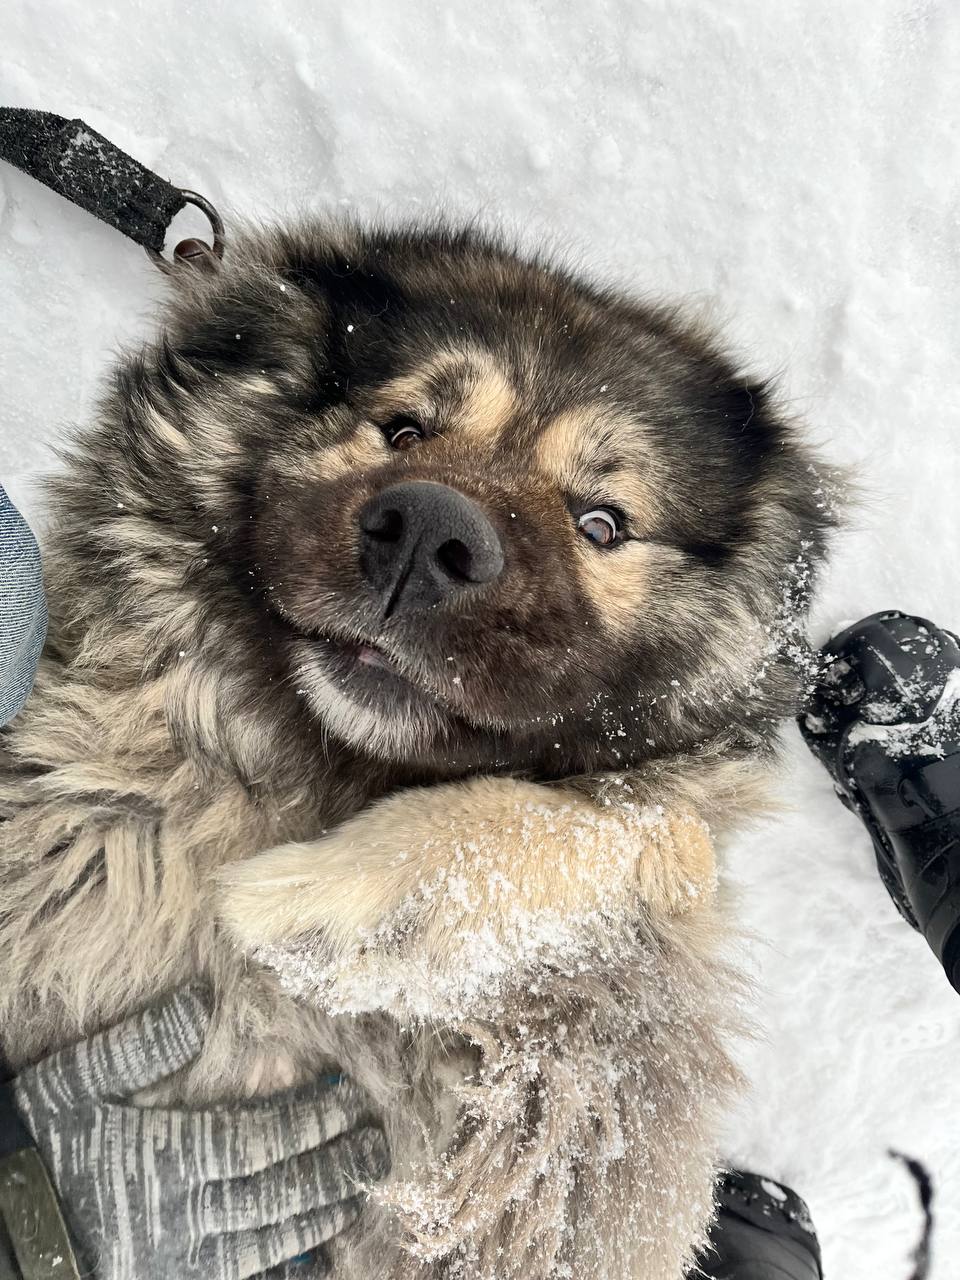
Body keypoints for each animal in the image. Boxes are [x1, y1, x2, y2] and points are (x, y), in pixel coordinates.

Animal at [0, 225, 834, 1274]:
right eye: (403, 430)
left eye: (601, 523)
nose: (429, 534)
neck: (333, 766)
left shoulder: (669, 850)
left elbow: (604, 823)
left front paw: (311, 894)